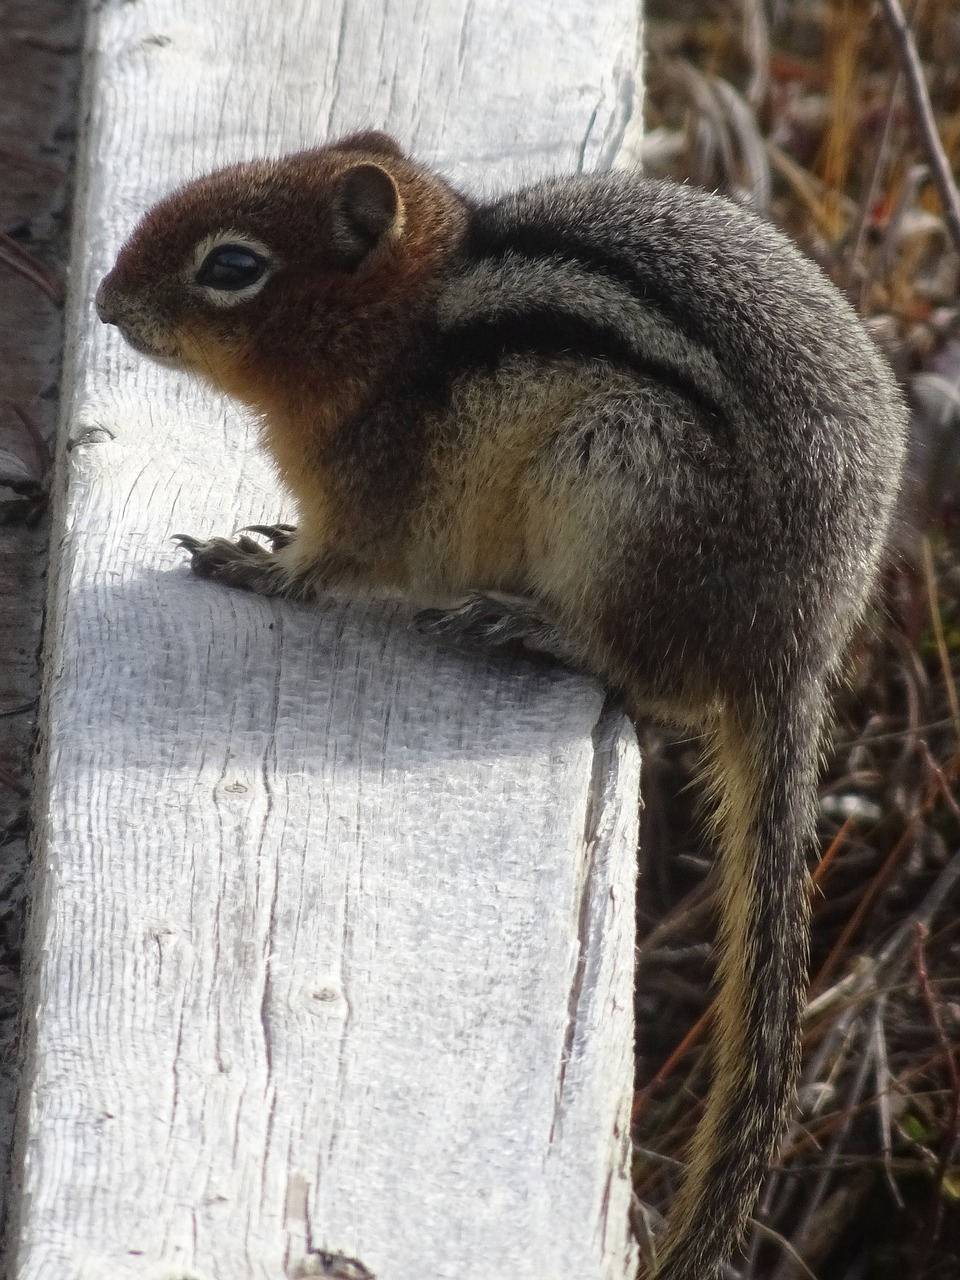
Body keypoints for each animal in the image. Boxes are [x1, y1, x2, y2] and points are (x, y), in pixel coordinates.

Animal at [96, 132, 911, 1280]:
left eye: (233, 267)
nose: (106, 300)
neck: (398, 329)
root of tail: (797, 649)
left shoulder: (368, 504)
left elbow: (325, 566)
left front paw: (249, 563)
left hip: (622, 479)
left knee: (652, 677)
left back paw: (527, 622)